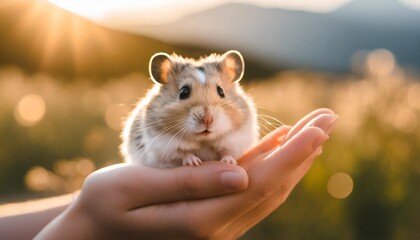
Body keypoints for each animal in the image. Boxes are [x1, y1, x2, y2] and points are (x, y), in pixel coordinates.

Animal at [120, 49, 260, 168]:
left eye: (221, 91)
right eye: (184, 92)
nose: (207, 120)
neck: (203, 141)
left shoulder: (236, 139)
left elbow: (226, 151)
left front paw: (229, 162)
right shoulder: (164, 146)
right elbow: (182, 153)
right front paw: (194, 162)